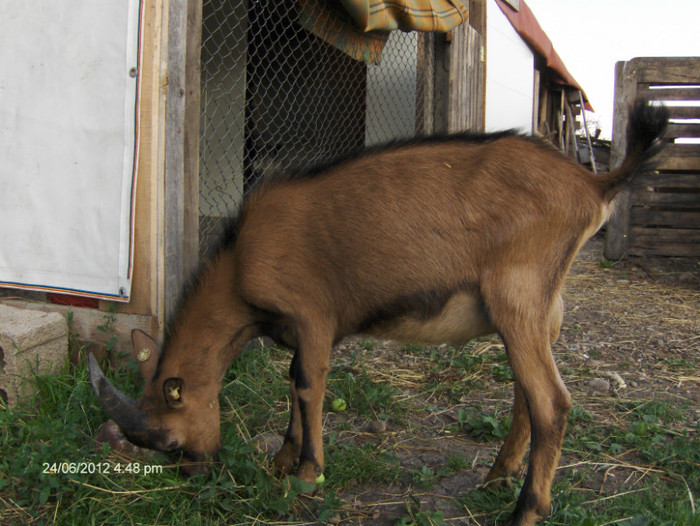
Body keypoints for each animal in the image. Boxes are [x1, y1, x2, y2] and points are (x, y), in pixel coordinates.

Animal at [90, 98, 668, 524]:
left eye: (169, 440)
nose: (197, 474)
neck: (239, 264)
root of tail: (592, 184)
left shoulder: (313, 314)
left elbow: (307, 384)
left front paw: (306, 473)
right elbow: (293, 383)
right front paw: (282, 460)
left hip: (518, 294)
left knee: (552, 403)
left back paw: (525, 510)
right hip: (543, 308)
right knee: (528, 395)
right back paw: (497, 476)